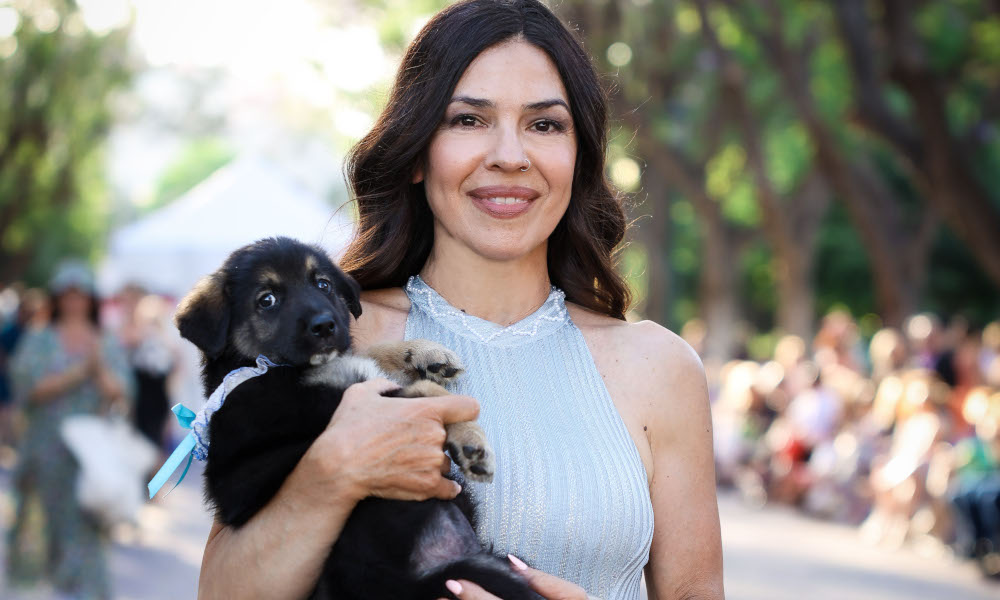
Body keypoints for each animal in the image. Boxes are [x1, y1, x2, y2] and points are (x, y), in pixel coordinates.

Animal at [174, 237, 539, 599]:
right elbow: (428, 392)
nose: (325, 325)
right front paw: (471, 442)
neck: (263, 366)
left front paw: (426, 354)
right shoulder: (356, 406)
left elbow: (372, 354)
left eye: (323, 284)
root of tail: (405, 583)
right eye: (267, 300)